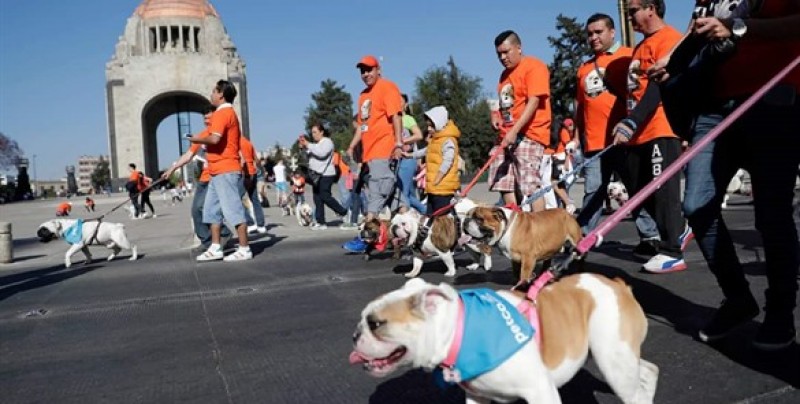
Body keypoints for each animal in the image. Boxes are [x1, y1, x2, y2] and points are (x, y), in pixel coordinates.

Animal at [354, 278, 660, 404]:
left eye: (376, 324)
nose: (356, 334)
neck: (459, 329)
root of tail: (619, 285)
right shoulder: (477, 397)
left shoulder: (541, 392)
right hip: (617, 355)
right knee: (648, 371)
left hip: (612, 360)